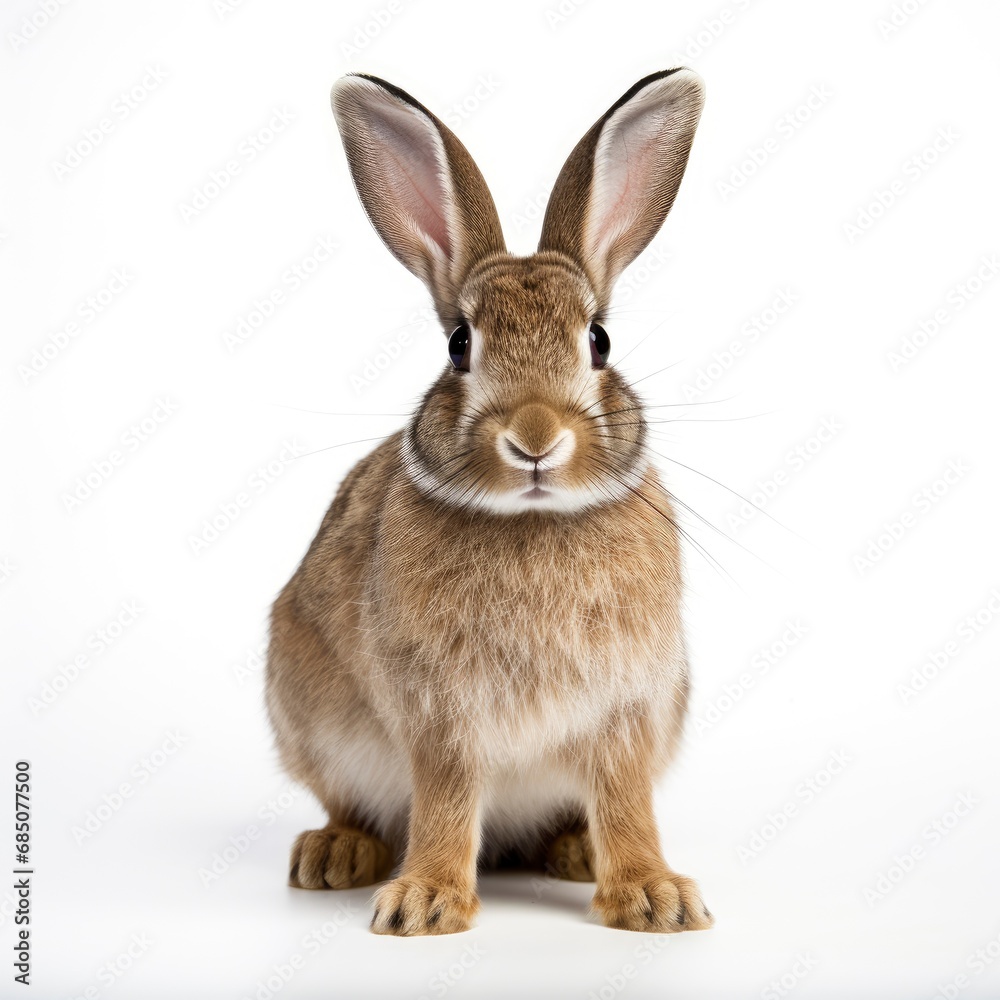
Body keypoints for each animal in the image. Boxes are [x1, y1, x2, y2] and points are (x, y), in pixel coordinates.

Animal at [266, 68, 711, 937]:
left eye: (599, 341)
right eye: (459, 345)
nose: (535, 437)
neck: (533, 521)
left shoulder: (627, 710)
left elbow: (626, 801)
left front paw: (655, 897)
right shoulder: (438, 715)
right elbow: (443, 798)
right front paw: (423, 904)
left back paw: (575, 854)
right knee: (350, 804)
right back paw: (334, 855)